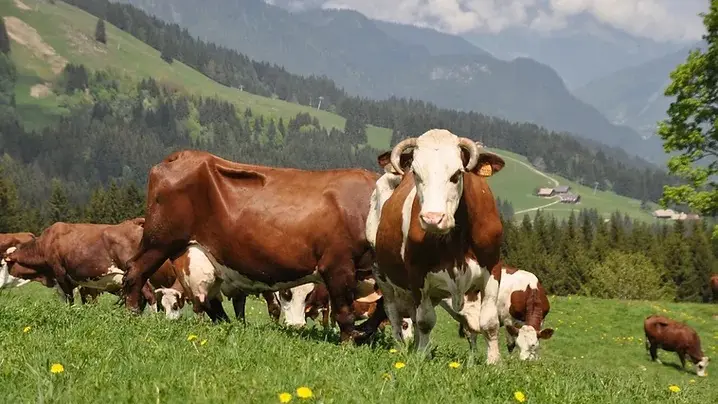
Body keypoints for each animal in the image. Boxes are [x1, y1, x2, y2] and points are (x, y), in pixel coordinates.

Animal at [122, 150, 382, 342]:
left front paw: (365, 333)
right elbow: (344, 310)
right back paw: (132, 314)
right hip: (159, 242)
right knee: (135, 272)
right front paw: (350, 341)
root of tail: (180, 155)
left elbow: (379, 308)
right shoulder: (338, 264)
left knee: (209, 300)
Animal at [366, 130, 506, 362]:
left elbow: (489, 321)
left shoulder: (493, 268)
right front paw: (422, 356)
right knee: (395, 314)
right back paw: (402, 348)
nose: (432, 218)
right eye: (416, 173)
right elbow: (425, 321)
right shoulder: (417, 275)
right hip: (382, 276)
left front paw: (494, 362)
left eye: (457, 174)